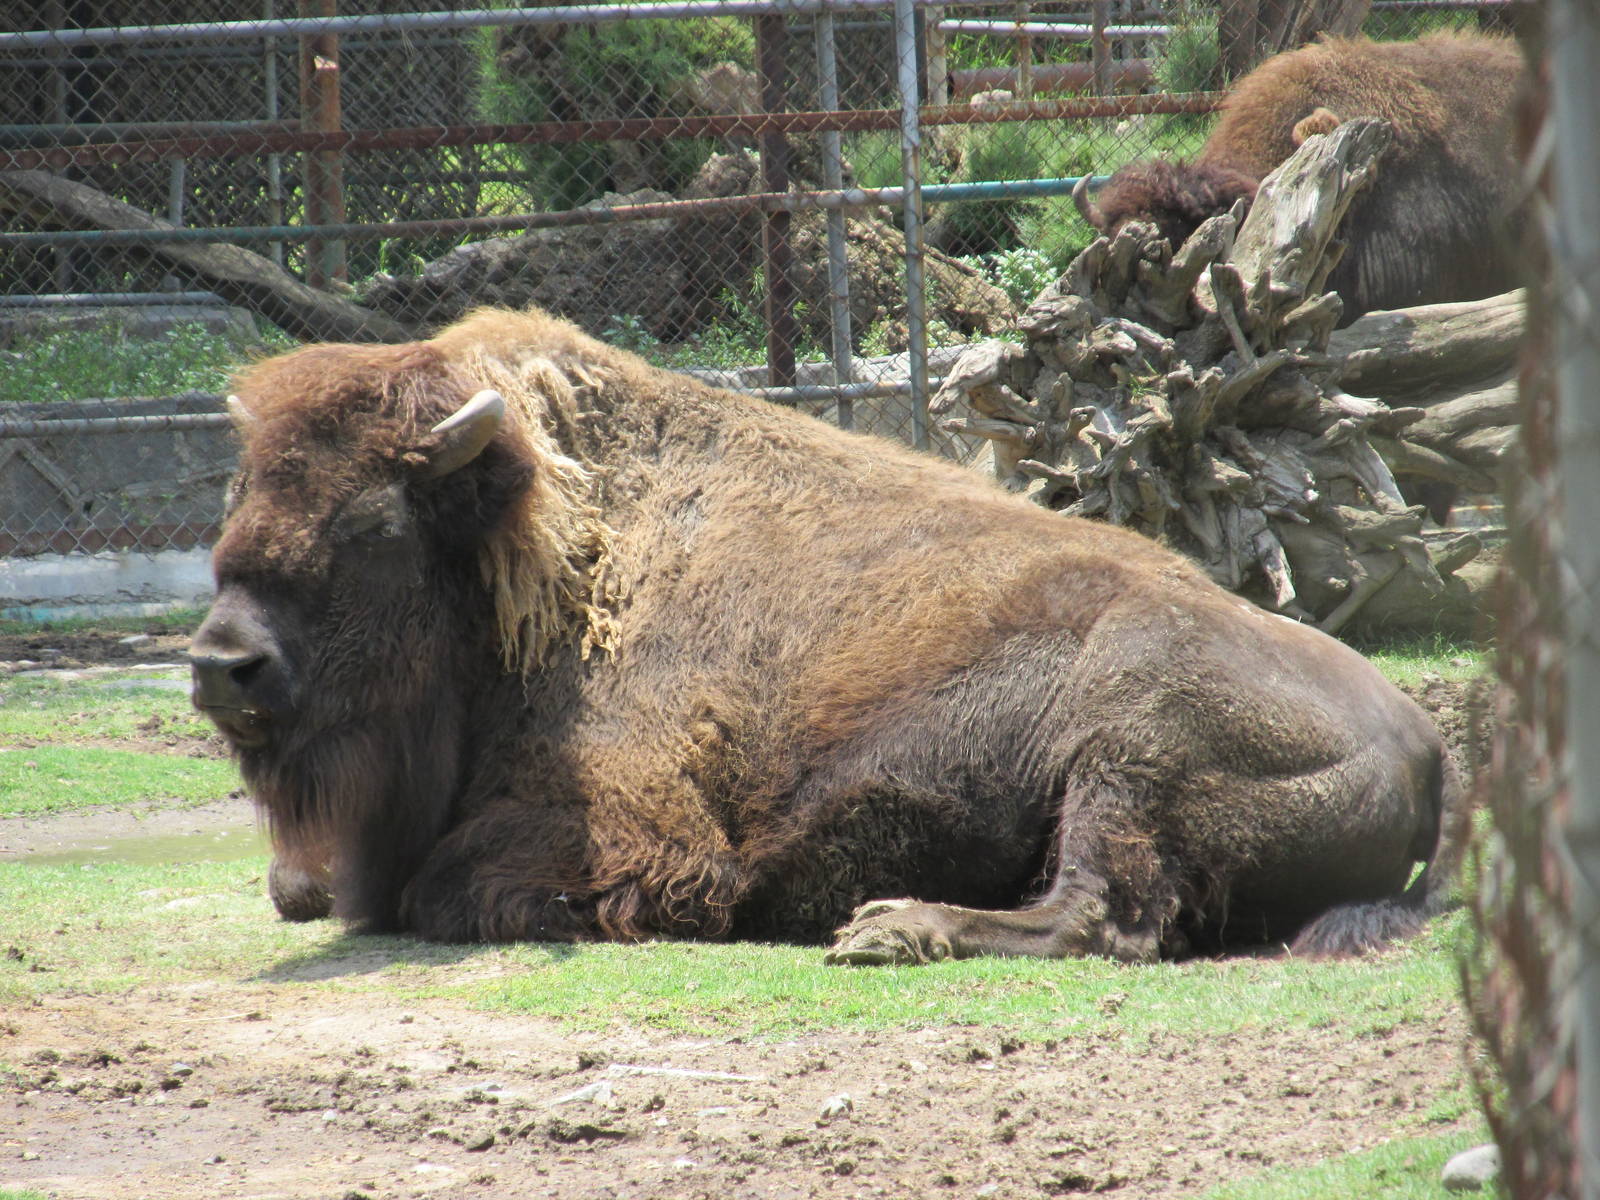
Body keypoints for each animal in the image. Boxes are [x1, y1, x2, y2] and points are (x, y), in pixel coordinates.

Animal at [189, 308, 1467, 964]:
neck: (546, 558)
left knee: (1097, 916)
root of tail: (1424, 741)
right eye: (238, 495)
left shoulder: (639, 832)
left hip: (1129, 745)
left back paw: (891, 929)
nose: (219, 665)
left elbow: (442, 890)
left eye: (370, 525)